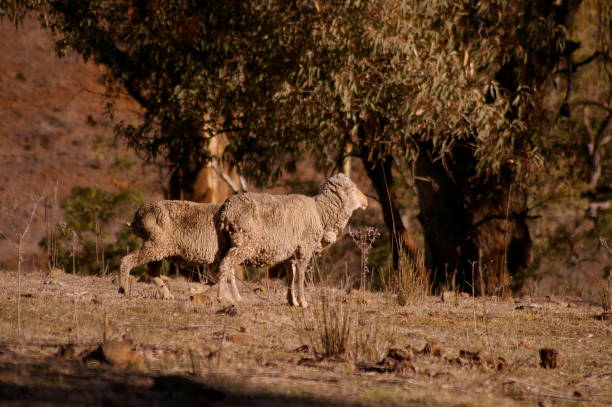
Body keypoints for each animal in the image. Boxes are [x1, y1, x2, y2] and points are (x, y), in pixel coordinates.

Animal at [215, 174, 368, 308]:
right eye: (353, 189)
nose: (366, 201)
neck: (320, 213)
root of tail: (226, 210)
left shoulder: (291, 254)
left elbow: (291, 276)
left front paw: (292, 301)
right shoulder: (304, 249)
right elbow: (300, 276)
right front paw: (303, 302)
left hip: (226, 243)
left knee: (228, 267)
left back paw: (233, 297)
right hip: (244, 243)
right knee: (225, 265)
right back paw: (223, 298)